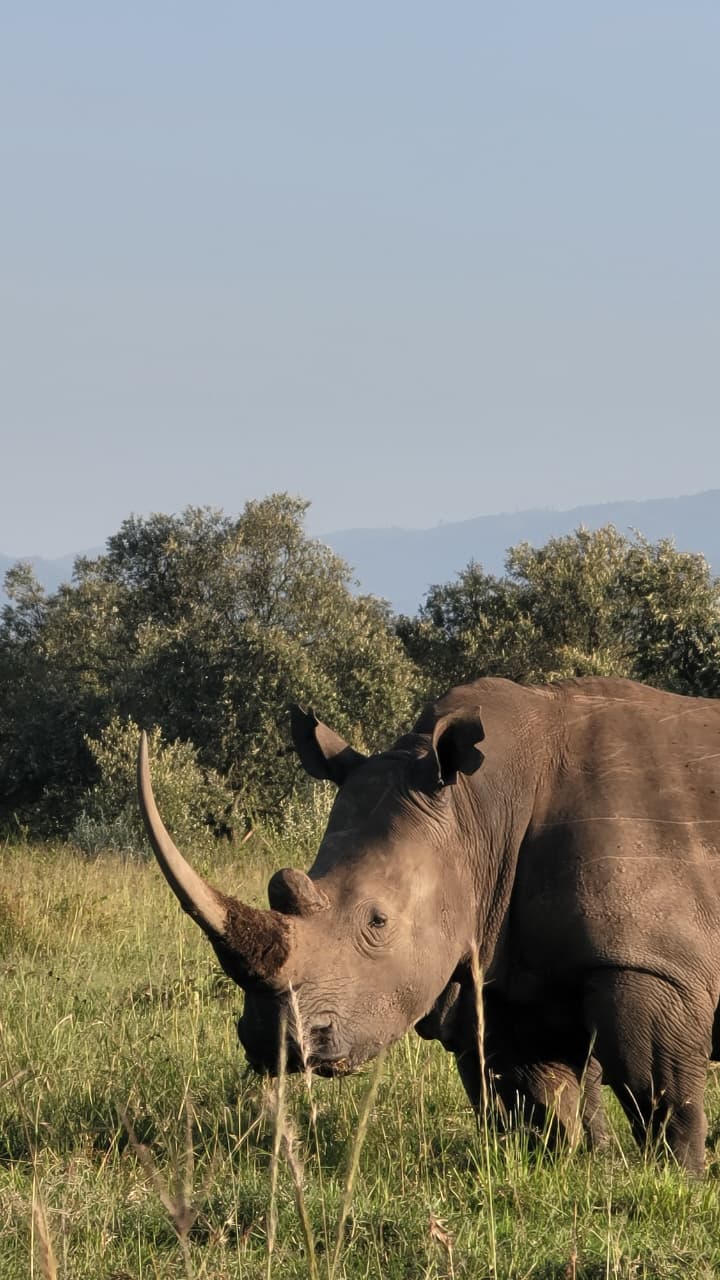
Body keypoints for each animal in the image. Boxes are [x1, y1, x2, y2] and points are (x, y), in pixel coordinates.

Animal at [138, 675, 720, 1175]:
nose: (268, 1040)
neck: (479, 813)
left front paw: (677, 1180)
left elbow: (659, 1091)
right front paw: (569, 1169)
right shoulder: (502, 968)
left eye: (378, 920)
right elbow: (539, 1098)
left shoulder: (652, 962)